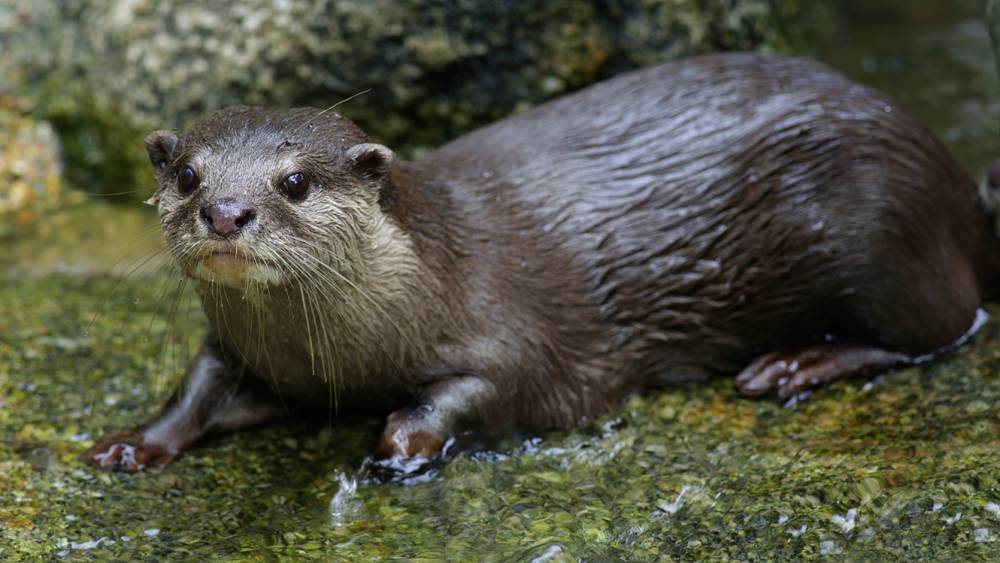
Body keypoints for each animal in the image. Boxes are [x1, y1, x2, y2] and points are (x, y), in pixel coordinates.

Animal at [84, 53, 1000, 471]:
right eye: (188, 174)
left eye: (296, 182)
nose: (225, 213)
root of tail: (956, 181)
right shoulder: (259, 357)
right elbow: (200, 381)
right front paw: (135, 440)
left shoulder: (520, 335)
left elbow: (490, 385)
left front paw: (405, 441)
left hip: (887, 233)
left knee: (942, 326)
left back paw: (796, 363)